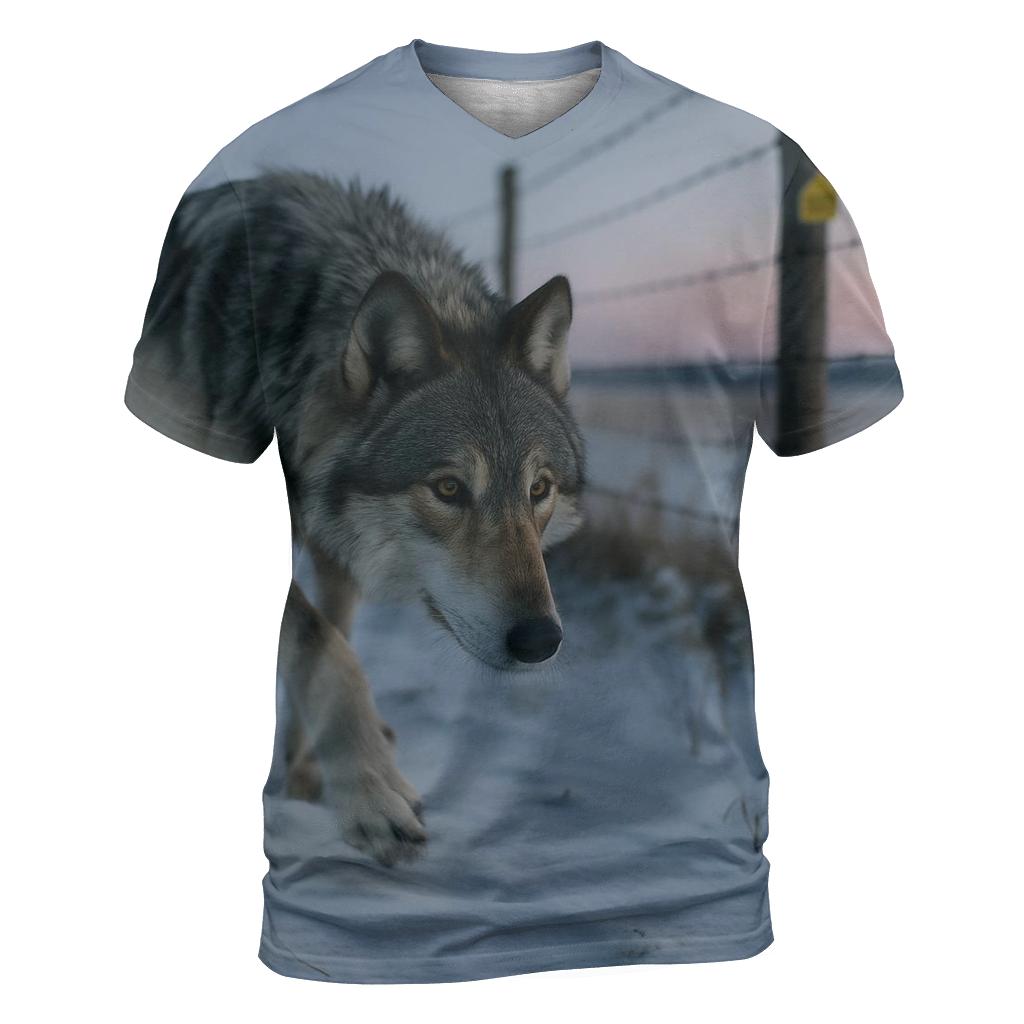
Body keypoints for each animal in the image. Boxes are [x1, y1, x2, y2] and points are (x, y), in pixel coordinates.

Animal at [143, 171, 586, 866]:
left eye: (537, 489)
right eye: (449, 488)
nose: (540, 640)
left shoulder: (335, 547)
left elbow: (334, 637)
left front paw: (304, 773)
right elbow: (323, 647)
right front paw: (372, 792)